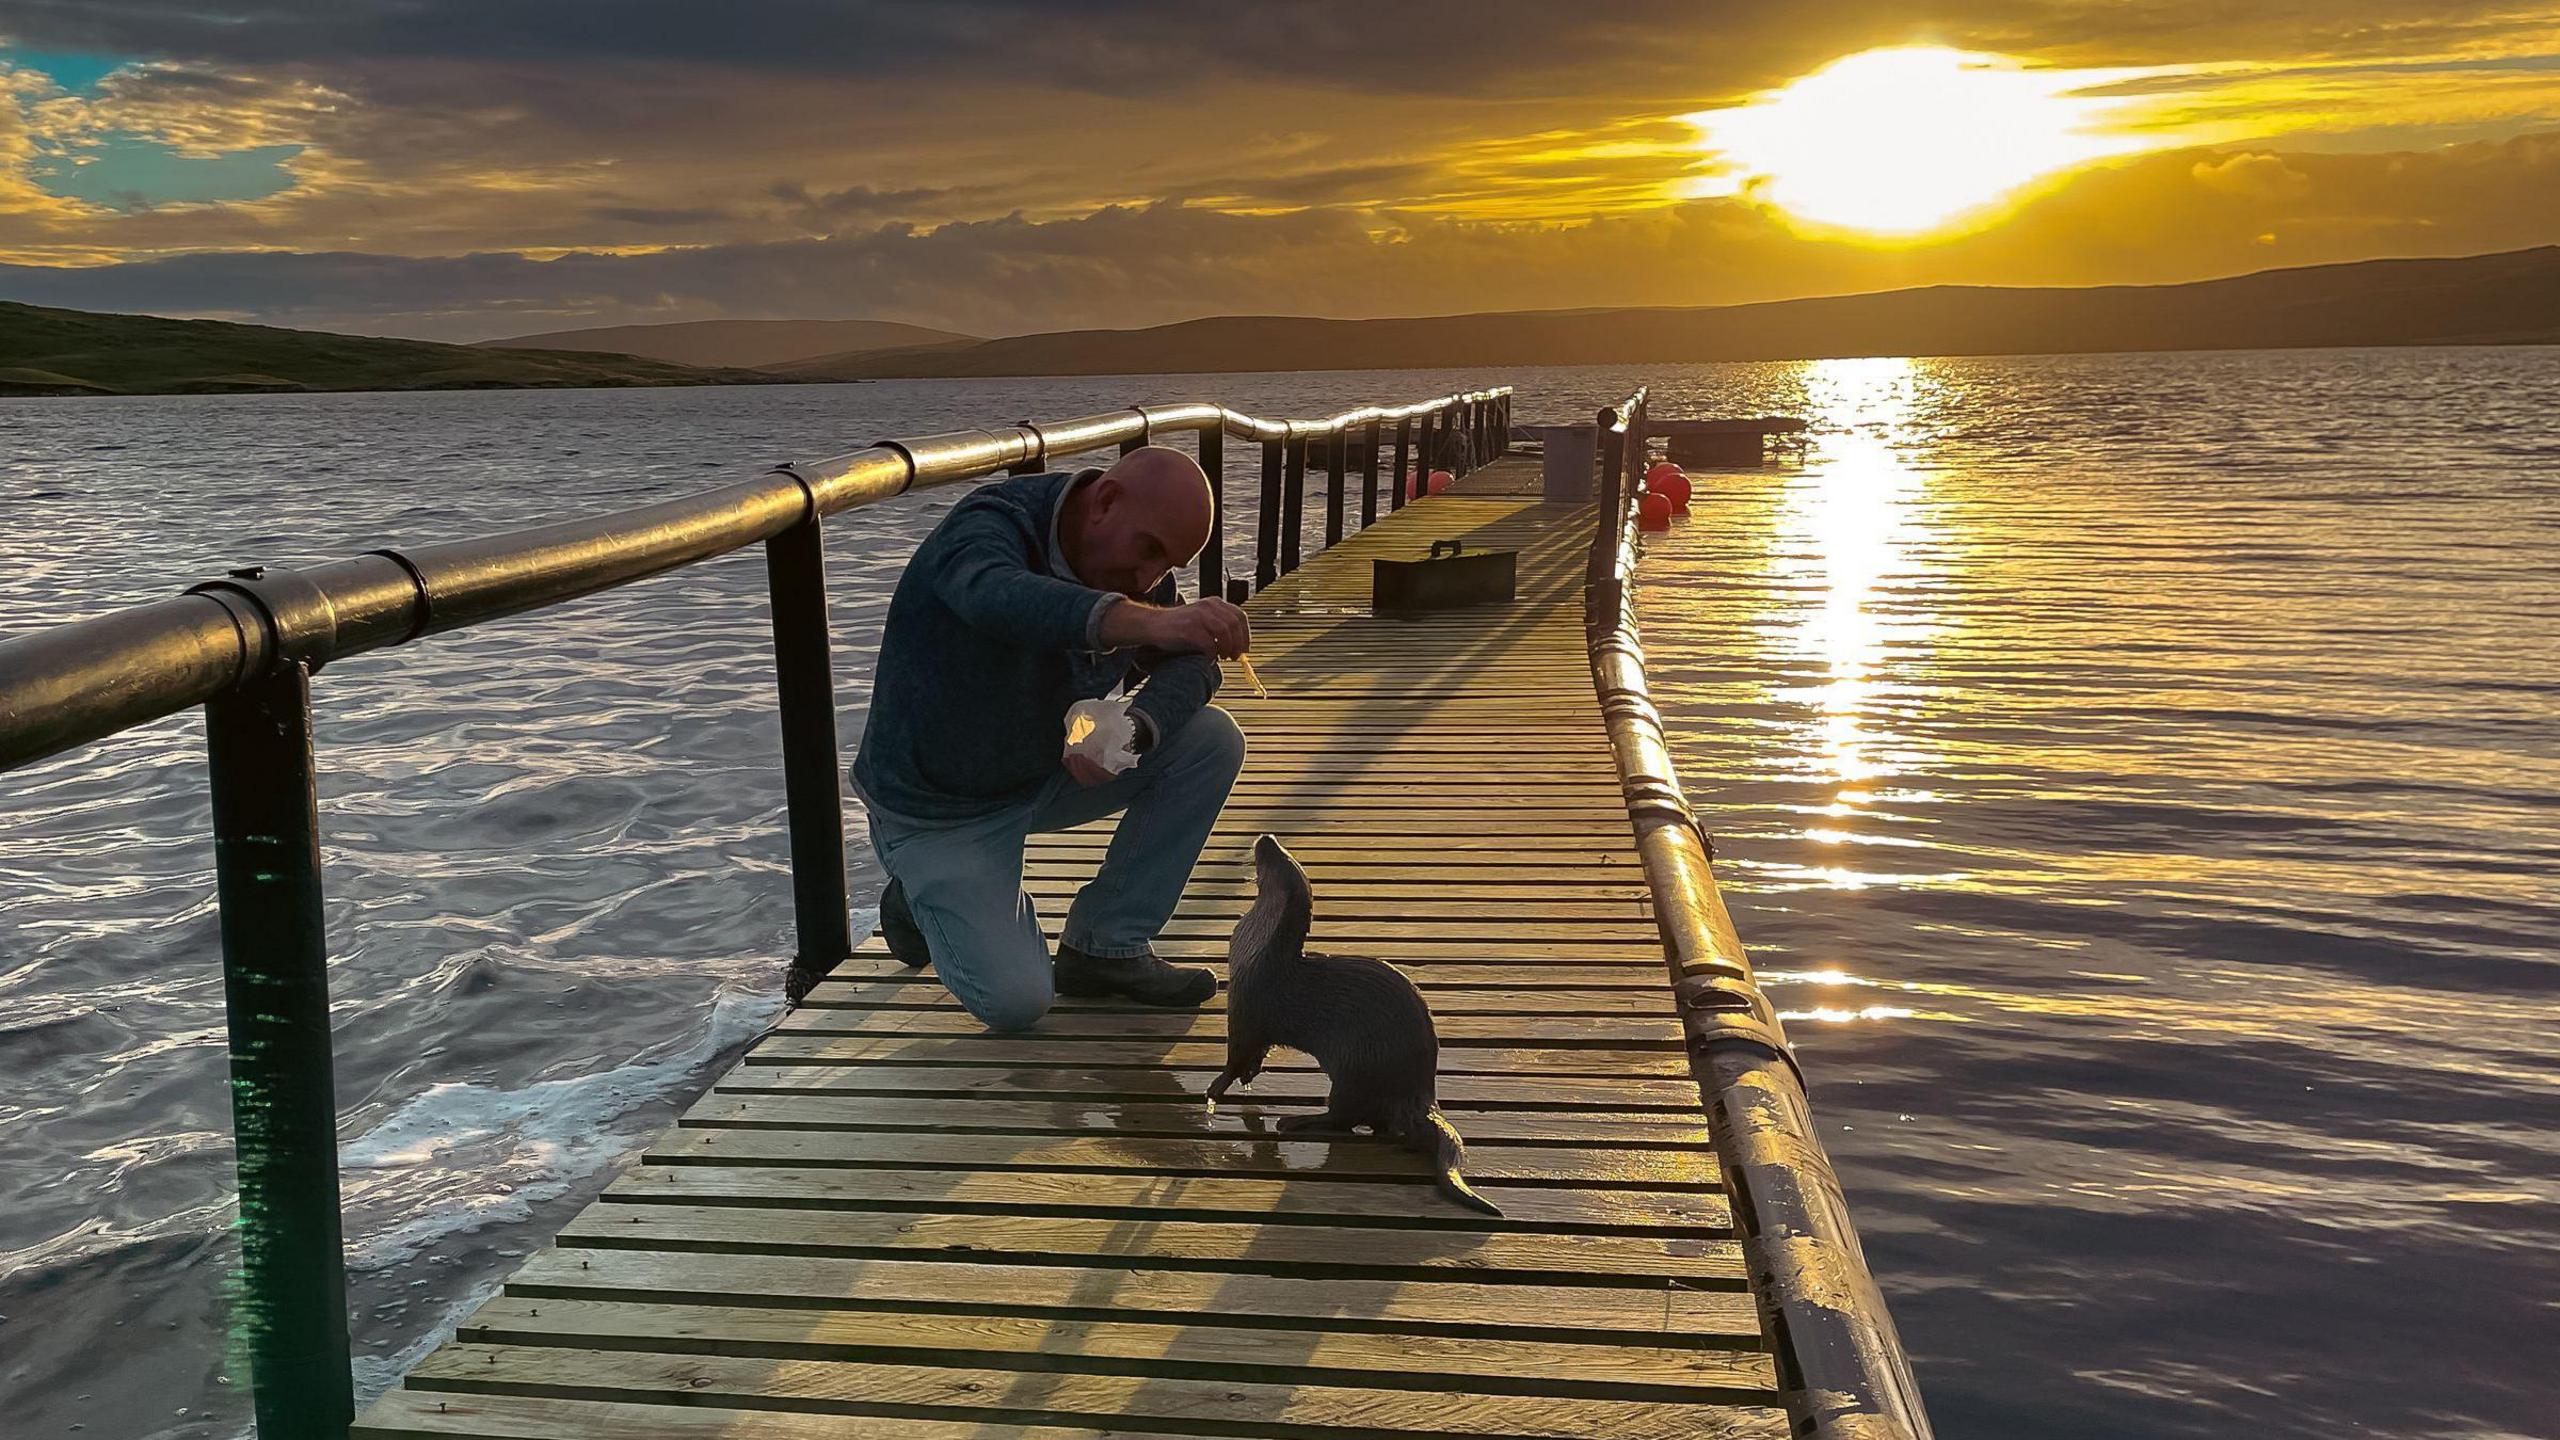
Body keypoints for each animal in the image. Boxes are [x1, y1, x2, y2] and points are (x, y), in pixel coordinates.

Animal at [1213, 830, 1505, 1209]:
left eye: (1277, 858)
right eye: (1283, 850)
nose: (1266, 836)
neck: (1255, 950)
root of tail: (1420, 1094)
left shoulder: (1248, 1007)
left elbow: (1236, 1053)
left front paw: (1216, 1088)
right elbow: (1258, 1053)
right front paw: (1249, 1076)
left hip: (1355, 1072)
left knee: (1343, 1118)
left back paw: (1293, 1120)